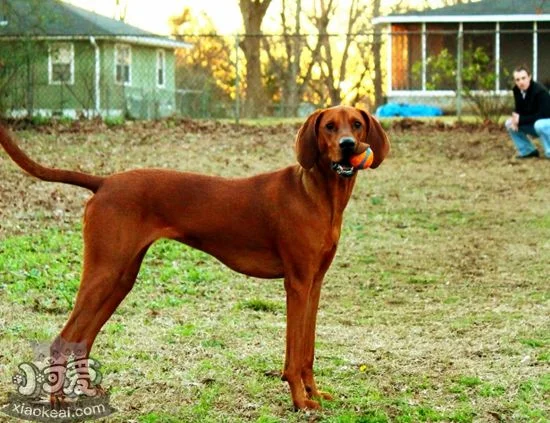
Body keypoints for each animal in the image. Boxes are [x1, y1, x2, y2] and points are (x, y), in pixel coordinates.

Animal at [0, 106, 390, 410]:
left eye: (356, 124)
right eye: (329, 126)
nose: (348, 146)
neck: (317, 194)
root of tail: (104, 182)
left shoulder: (315, 283)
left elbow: (307, 351)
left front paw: (315, 393)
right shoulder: (296, 284)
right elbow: (294, 355)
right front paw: (299, 400)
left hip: (120, 278)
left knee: (82, 338)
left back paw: (87, 391)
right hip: (104, 272)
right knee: (63, 337)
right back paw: (56, 401)